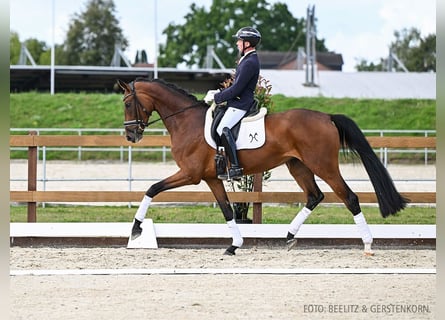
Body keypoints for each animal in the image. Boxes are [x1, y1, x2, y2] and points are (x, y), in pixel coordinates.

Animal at [116, 77, 408, 255]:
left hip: (323, 165)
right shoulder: (211, 178)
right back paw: (289, 235)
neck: (187, 121)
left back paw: (367, 244)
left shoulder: (190, 174)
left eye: (128, 103)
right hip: (298, 166)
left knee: (349, 197)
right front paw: (234, 245)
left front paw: (136, 228)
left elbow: (152, 189)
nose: (131, 136)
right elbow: (227, 210)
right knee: (315, 196)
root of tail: (326, 117)